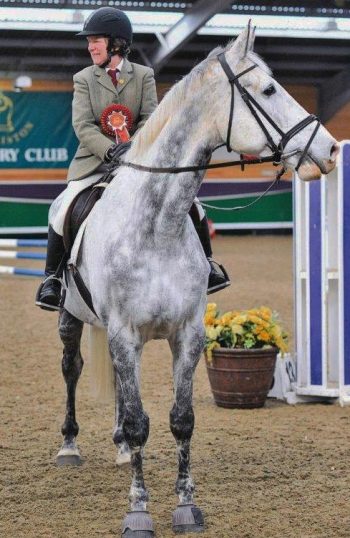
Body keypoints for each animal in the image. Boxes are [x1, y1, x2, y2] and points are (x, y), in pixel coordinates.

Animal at [52, 26, 340, 536]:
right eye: (269, 90)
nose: (329, 150)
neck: (157, 226)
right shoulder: (125, 334)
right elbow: (140, 421)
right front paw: (138, 511)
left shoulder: (186, 334)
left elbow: (180, 419)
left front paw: (186, 505)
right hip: (71, 315)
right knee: (73, 368)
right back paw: (70, 446)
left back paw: (120, 449)